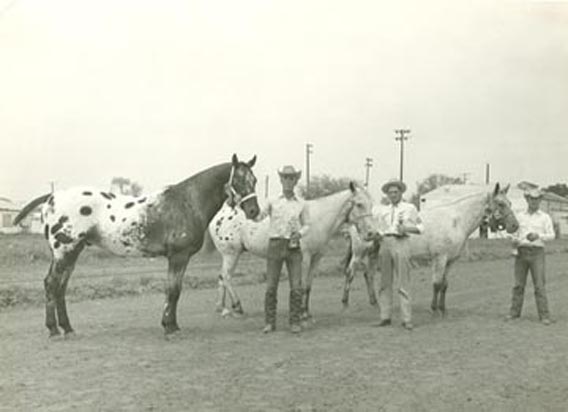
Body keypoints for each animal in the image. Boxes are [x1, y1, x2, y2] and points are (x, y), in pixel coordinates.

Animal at [14, 154, 260, 334]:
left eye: (255, 180)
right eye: (238, 180)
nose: (254, 211)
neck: (186, 202)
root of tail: (52, 198)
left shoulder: (180, 258)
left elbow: (174, 290)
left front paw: (171, 324)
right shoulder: (178, 256)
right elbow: (173, 291)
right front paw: (169, 327)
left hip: (72, 252)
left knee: (61, 287)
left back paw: (67, 327)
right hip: (64, 251)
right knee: (51, 284)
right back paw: (54, 330)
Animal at [209, 182, 378, 320]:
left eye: (371, 204)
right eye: (359, 204)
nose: (371, 233)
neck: (317, 219)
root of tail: (221, 215)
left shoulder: (316, 258)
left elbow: (308, 286)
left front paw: (307, 312)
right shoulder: (305, 258)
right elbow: (301, 286)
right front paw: (302, 313)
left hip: (229, 256)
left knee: (222, 277)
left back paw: (222, 309)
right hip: (231, 254)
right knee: (226, 277)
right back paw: (237, 306)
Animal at [342, 183, 520, 316]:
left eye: (510, 203)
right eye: (501, 203)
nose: (515, 226)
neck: (456, 221)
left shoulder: (450, 261)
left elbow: (445, 285)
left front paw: (443, 308)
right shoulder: (440, 258)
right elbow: (436, 284)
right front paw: (434, 309)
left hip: (373, 251)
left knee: (369, 275)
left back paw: (375, 303)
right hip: (360, 252)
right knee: (350, 273)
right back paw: (345, 303)